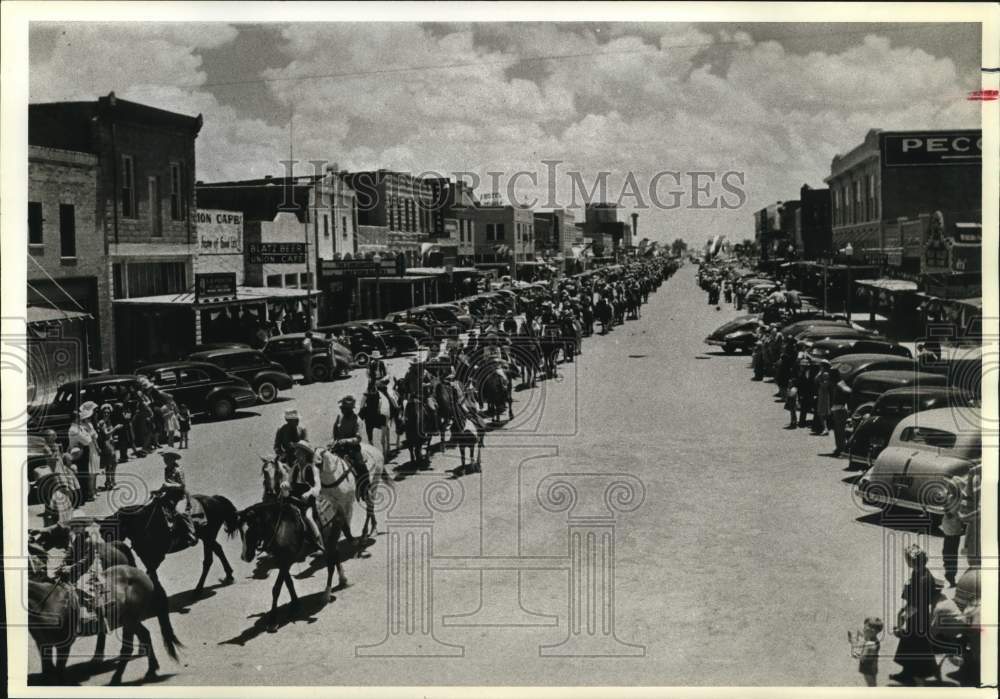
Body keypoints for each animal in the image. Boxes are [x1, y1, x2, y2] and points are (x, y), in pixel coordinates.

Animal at [28, 564, 182, 684]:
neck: (48, 602)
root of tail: (144, 576)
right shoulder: (42, 642)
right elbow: (47, 668)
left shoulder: (64, 644)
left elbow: (59, 670)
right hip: (128, 620)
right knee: (145, 635)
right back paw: (151, 670)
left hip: (130, 620)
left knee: (127, 648)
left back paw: (116, 679)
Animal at [97, 492, 240, 596]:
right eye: (102, 532)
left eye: (110, 529)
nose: (108, 547)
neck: (142, 523)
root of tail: (215, 499)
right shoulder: (145, 557)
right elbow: (151, 573)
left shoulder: (157, 556)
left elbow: (151, 573)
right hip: (207, 538)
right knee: (218, 549)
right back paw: (229, 575)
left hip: (208, 538)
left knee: (208, 560)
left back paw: (198, 589)